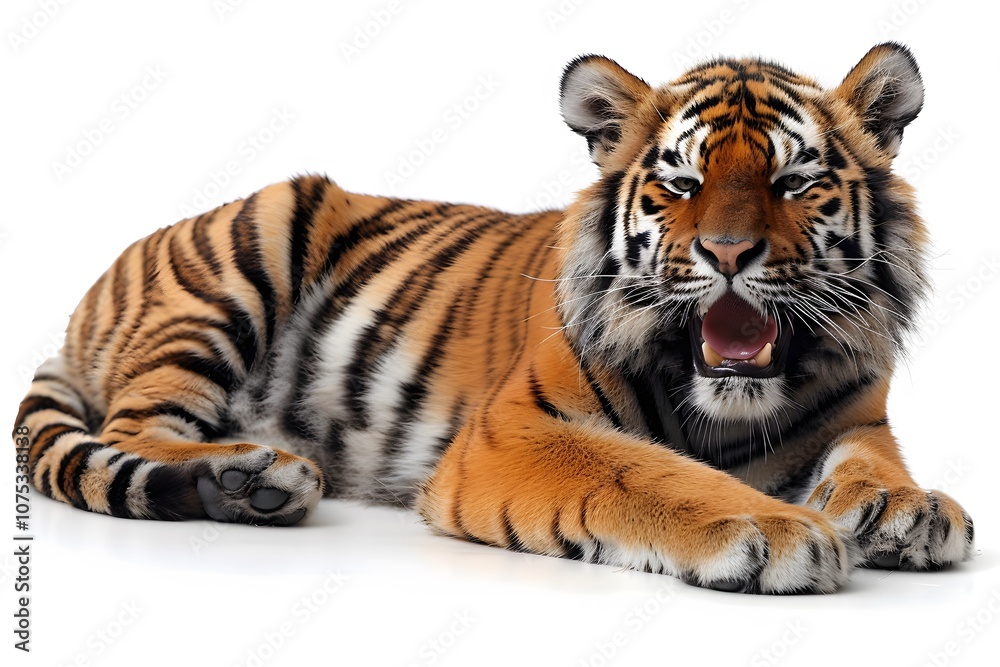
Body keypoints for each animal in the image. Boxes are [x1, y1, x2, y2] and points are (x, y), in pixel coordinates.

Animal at [13, 42, 975, 594]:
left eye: (792, 181)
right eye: (682, 183)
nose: (728, 253)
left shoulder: (856, 414)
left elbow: (873, 460)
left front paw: (911, 508)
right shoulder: (514, 429)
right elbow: (645, 470)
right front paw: (777, 527)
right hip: (243, 254)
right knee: (136, 428)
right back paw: (253, 471)